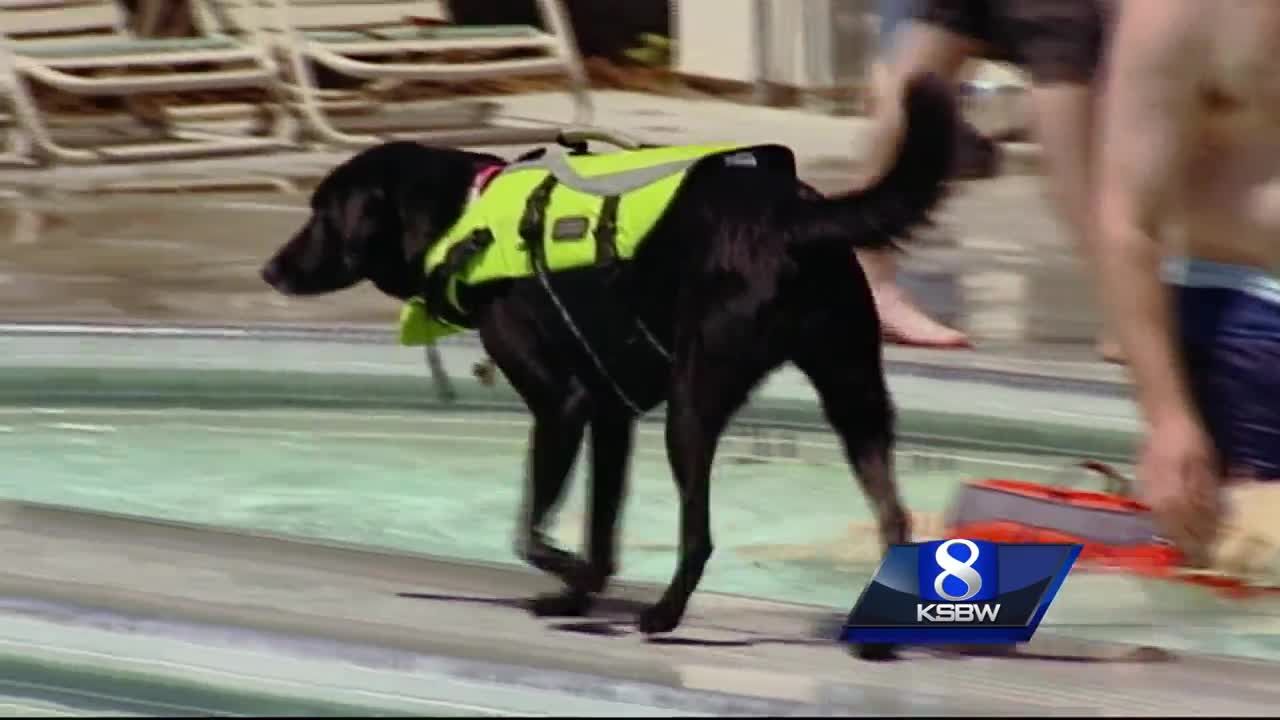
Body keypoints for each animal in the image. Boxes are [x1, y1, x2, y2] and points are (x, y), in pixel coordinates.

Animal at [262, 74, 962, 638]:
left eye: (321, 213)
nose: (270, 270)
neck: (464, 219)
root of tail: (797, 216)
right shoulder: (609, 416)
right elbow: (600, 523)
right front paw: (579, 591)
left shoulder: (561, 406)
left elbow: (529, 529)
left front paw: (574, 577)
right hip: (854, 394)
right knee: (895, 517)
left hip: (693, 403)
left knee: (699, 534)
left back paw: (664, 614)